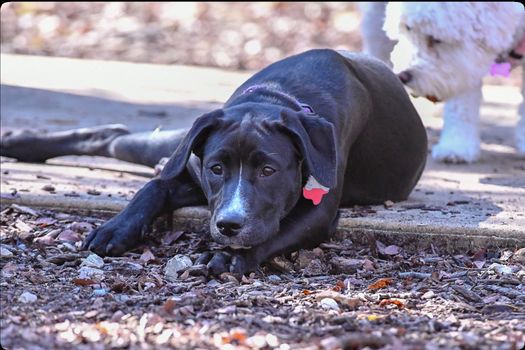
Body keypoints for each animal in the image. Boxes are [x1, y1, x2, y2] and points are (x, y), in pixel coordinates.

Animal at [1, 49, 426, 274]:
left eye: (269, 170)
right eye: (216, 168)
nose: (229, 226)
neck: (276, 98)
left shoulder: (318, 210)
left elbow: (275, 234)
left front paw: (225, 257)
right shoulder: (194, 175)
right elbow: (153, 187)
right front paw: (114, 229)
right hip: (173, 145)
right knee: (114, 137)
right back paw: (17, 141)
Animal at [360, 2, 524, 163]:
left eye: (436, 39)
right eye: (408, 28)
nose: (402, 76)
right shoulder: (464, 65)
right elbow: (460, 105)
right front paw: (456, 146)